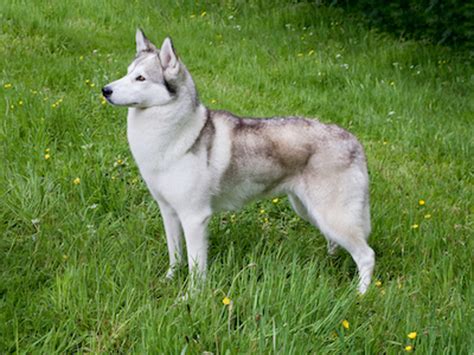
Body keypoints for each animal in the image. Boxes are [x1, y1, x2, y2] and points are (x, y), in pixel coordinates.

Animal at [102, 28, 376, 294]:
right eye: (127, 73)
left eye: (141, 78)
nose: (105, 90)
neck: (176, 135)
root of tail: (355, 141)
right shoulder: (168, 212)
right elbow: (175, 256)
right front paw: (169, 280)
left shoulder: (194, 218)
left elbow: (195, 268)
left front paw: (190, 297)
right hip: (308, 210)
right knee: (337, 243)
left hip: (332, 216)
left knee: (367, 255)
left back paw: (360, 295)